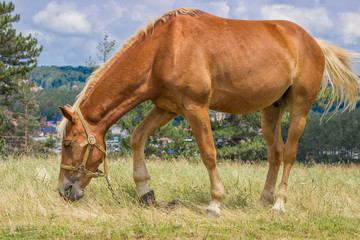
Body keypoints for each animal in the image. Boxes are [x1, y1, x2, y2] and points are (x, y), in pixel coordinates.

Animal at [57, 7, 358, 216]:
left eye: (68, 143)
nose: (63, 190)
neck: (163, 49)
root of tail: (314, 42)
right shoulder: (166, 108)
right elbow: (137, 137)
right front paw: (145, 192)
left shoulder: (196, 108)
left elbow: (209, 154)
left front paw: (215, 203)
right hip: (270, 110)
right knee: (276, 153)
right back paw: (264, 200)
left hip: (300, 108)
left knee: (291, 154)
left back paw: (279, 205)